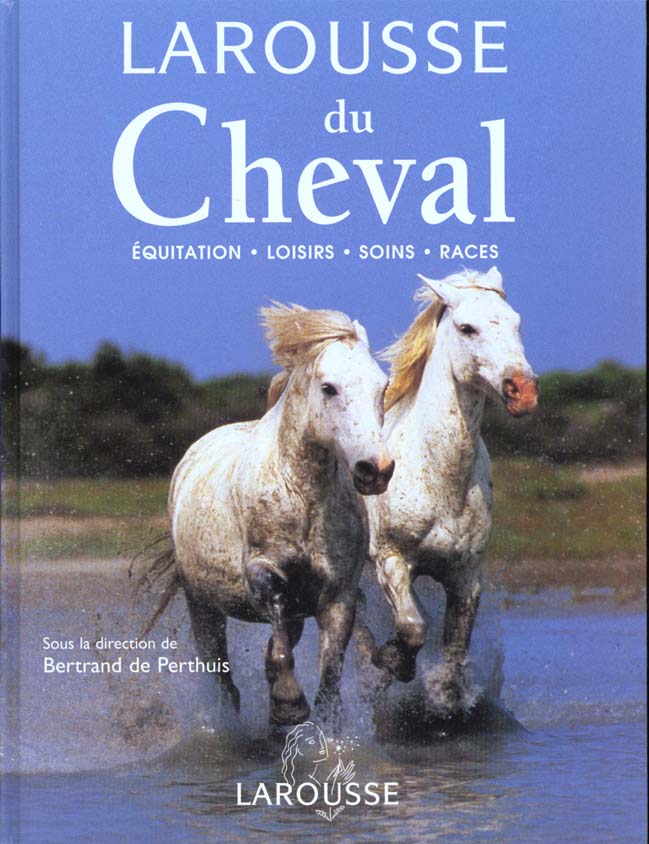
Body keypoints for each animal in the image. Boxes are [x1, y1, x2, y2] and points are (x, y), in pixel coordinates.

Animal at [140, 304, 394, 727]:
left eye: (383, 387)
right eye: (329, 388)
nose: (375, 469)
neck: (303, 498)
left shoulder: (337, 595)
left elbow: (329, 679)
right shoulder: (262, 575)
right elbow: (278, 642)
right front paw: (288, 705)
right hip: (202, 605)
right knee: (223, 678)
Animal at [365, 267, 537, 712]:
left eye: (516, 322)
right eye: (466, 328)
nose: (523, 391)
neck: (437, 478)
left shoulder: (465, 576)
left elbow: (454, 652)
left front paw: (447, 698)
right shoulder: (390, 560)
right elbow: (411, 628)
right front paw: (391, 660)